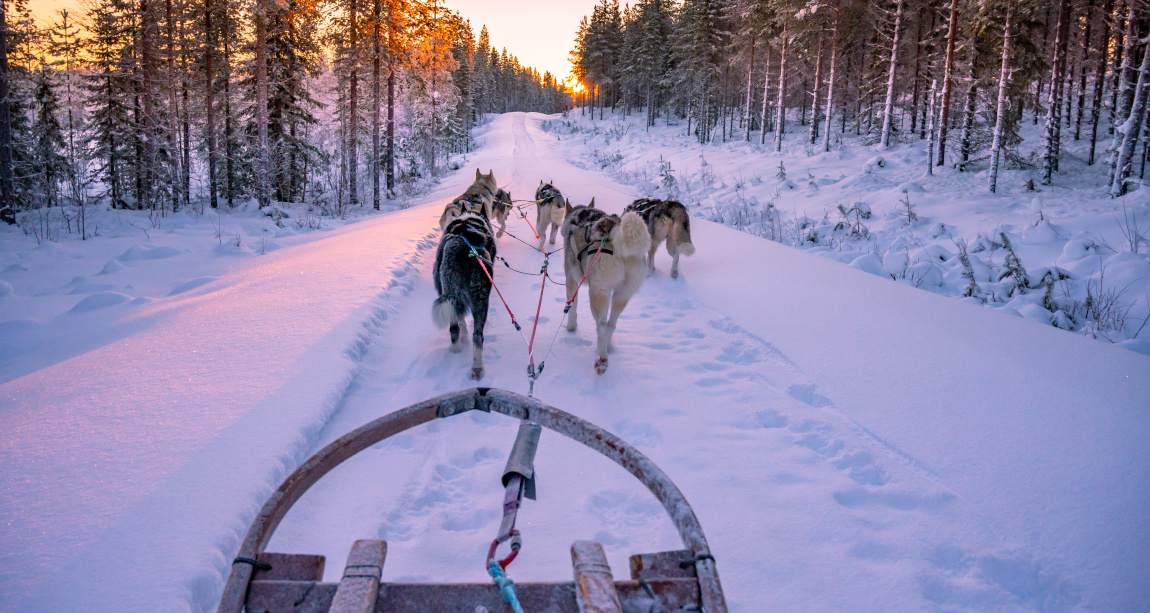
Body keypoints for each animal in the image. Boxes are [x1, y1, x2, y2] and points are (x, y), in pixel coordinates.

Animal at [432, 212, 494, 379]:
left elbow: (460, 320)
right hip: (480, 298)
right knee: (477, 335)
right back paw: (477, 367)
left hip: (453, 291)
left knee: (455, 328)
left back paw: (456, 351)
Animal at [561, 197, 653, 374]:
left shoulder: (571, 280)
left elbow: (572, 307)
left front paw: (571, 327)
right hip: (622, 294)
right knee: (611, 324)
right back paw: (605, 348)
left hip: (598, 292)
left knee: (602, 325)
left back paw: (601, 359)